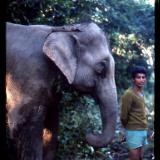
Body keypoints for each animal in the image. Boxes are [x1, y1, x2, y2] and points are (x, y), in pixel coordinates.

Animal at [6, 22, 118, 160]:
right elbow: (22, 124)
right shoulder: (26, 78)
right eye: (100, 69)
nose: (88, 133)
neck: (64, 31)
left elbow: (52, 121)